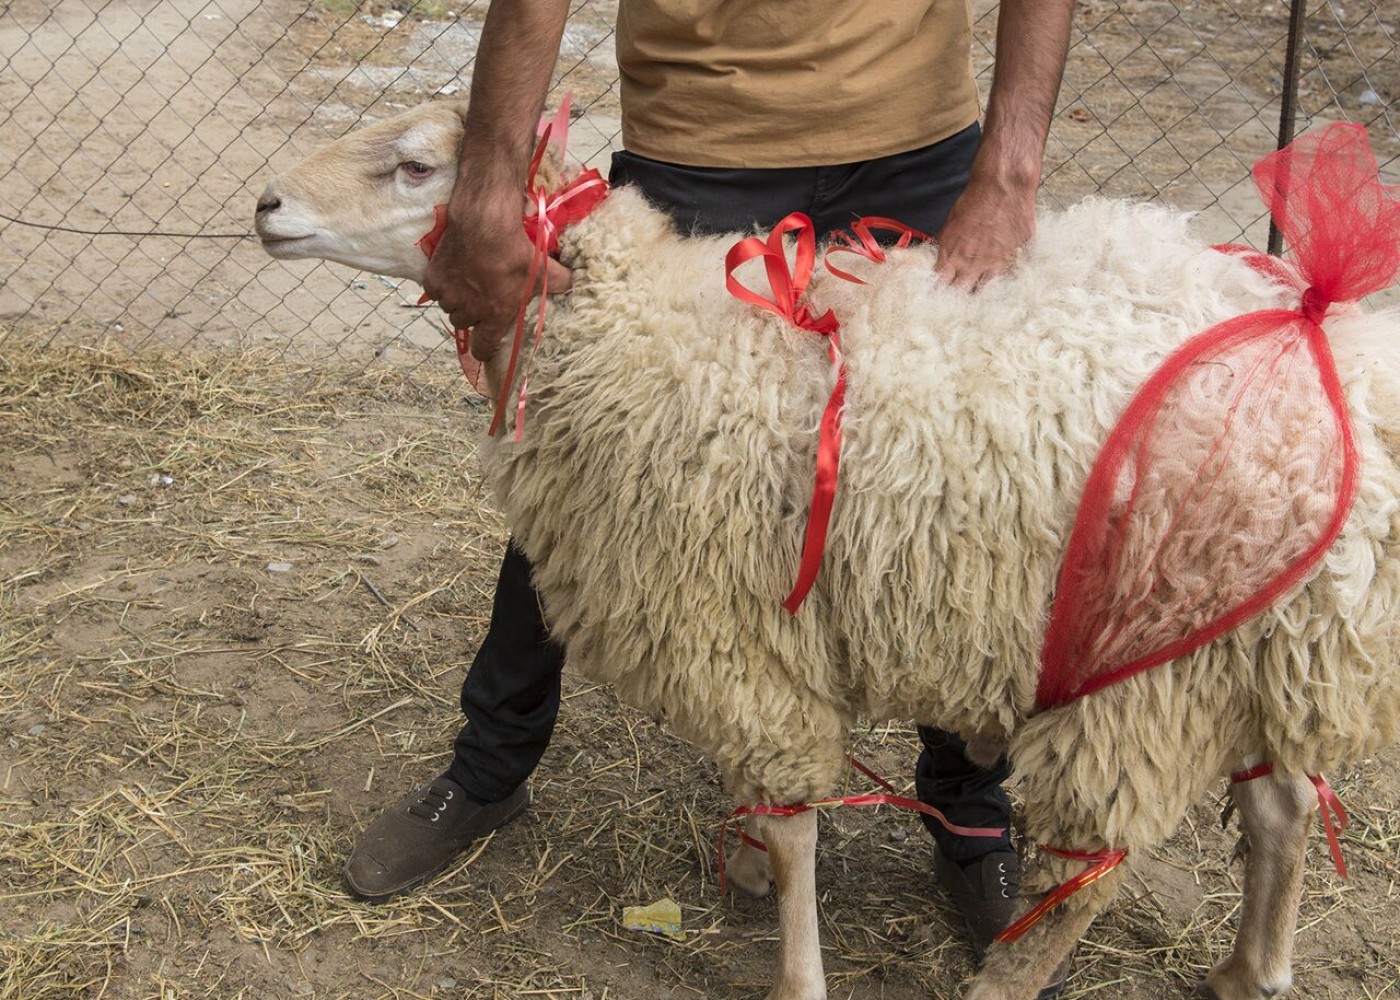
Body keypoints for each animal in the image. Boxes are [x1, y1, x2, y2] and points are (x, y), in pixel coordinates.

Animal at [257, 101, 1400, 997]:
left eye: (415, 167)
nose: (266, 204)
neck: (633, 330)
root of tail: (1321, 340)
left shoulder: (739, 640)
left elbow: (797, 820)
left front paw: (795, 965)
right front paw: (747, 866)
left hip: (1144, 669)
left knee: (1096, 868)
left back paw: (1005, 979)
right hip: (1245, 641)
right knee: (1283, 804)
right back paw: (1252, 968)